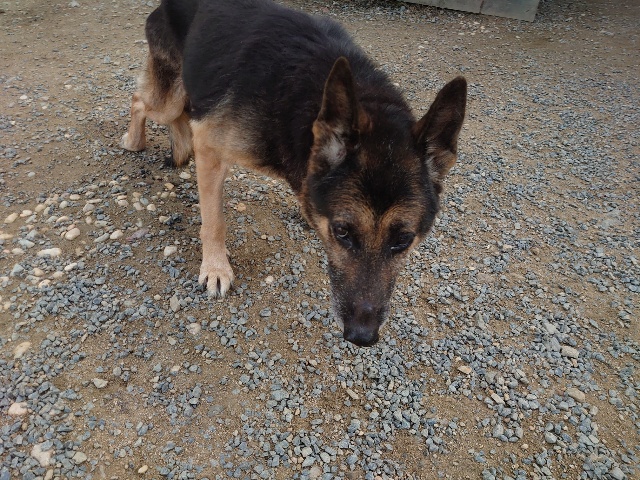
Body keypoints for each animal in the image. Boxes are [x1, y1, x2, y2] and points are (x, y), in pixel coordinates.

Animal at [121, 0, 467, 347]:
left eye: (404, 240)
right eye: (343, 232)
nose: (361, 336)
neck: (305, 100)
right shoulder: (210, 148)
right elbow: (214, 221)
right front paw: (216, 267)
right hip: (169, 96)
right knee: (139, 100)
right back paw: (134, 140)